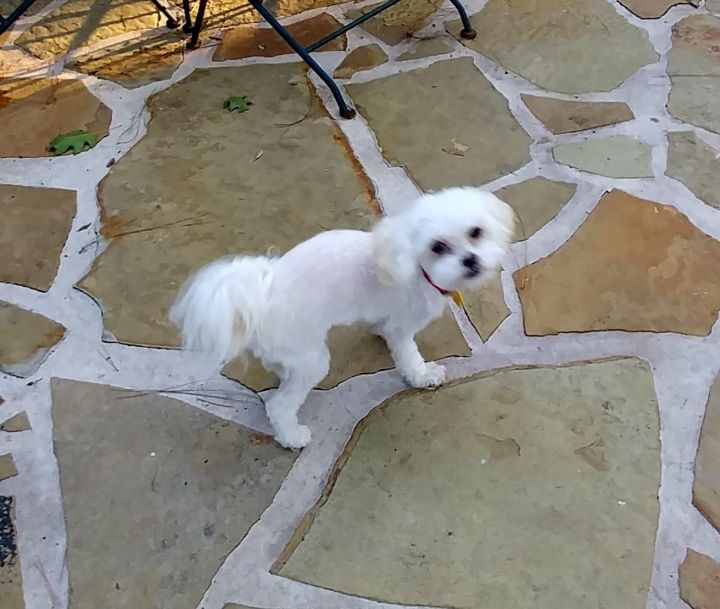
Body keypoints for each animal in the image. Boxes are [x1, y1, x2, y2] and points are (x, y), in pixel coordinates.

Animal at [172, 188, 516, 448]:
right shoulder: (403, 326)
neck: (413, 264)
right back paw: (292, 437)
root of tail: (260, 293)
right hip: (312, 358)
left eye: (476, 232)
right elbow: (408, 356)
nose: (471, 260)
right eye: (438, 247)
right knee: (280, 405)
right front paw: (423, 376)